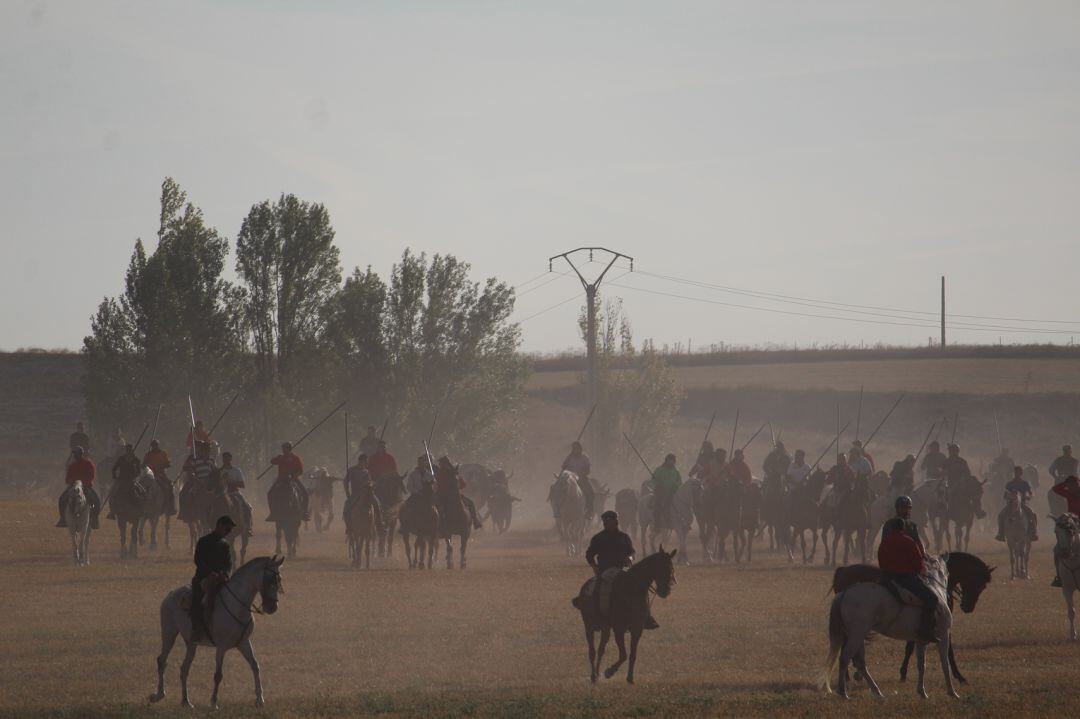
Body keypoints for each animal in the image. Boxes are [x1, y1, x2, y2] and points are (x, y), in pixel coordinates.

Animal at [152, 552, 289, 703]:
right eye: (269, 579)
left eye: (279, 578)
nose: (272, 607)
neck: (237, 605)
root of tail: (170, 594)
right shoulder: (222, 647)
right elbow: (218, 675)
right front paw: (214, 702)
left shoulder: (243, 642)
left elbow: (255, 666)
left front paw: (260, 699)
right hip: (169, 634)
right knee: (162, 660)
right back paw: (159, 694)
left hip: (191, 644)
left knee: (184, 669)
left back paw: (186, 701)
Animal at [570, 548, 678, 682]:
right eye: (661, 567)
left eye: (671, 568)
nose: (666, 591)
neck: (631, 590)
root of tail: (584, 590)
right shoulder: (619, 629)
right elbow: (623, 655)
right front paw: (609, 672)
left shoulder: (637, 629)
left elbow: (632, 654)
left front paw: (630, 677)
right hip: (589, 626)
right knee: (592, 651)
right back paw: (594, 676)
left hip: (605, 628)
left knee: (601, 649)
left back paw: (598, 673)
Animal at [820, 550, 959, 695]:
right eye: (948, 572)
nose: (950, 595)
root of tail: (845, 593)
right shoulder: (943, 634)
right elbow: (945, 663)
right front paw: (952, 692)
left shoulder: (921, 640)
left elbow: (922, 665)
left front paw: (922, 692)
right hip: (856, 635)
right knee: (845, 657)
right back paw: (843, 691)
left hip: (857, 635)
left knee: (860, 662)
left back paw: (876, 692)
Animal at [833, 550, 993, 686]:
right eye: (980, 583)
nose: (968, 607)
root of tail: (843, 571)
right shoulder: (938, 626)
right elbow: (946, 649)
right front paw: (959, 676)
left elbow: (911, 646)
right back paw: (847, 676)